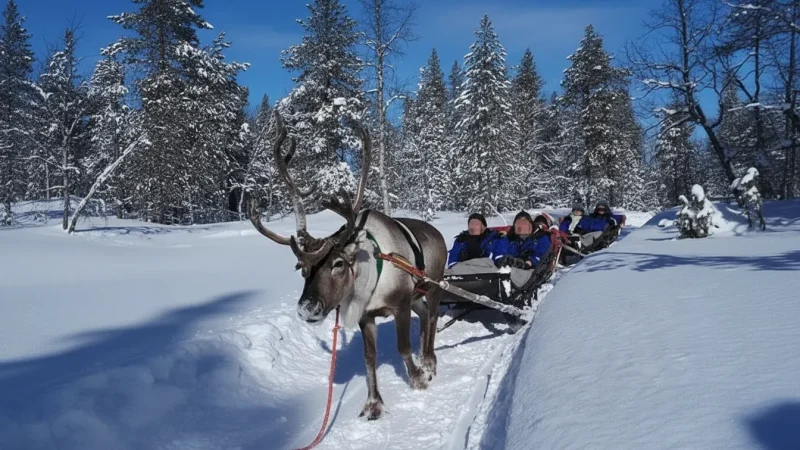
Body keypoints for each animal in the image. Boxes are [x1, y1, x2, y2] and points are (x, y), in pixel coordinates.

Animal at [248, 110, 447, 420]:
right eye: (301, 268)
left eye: (338, 263)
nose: (307, 309)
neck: (368, 277)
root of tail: (438, 234)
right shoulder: (368, 315)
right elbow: (369, 359)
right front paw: (373, 403)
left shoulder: (400, 304)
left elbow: (402, 347)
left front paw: (418, 379)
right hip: (418, 296)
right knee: (426, 315)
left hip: (434, 287)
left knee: (434, 315)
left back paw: (429, 362)